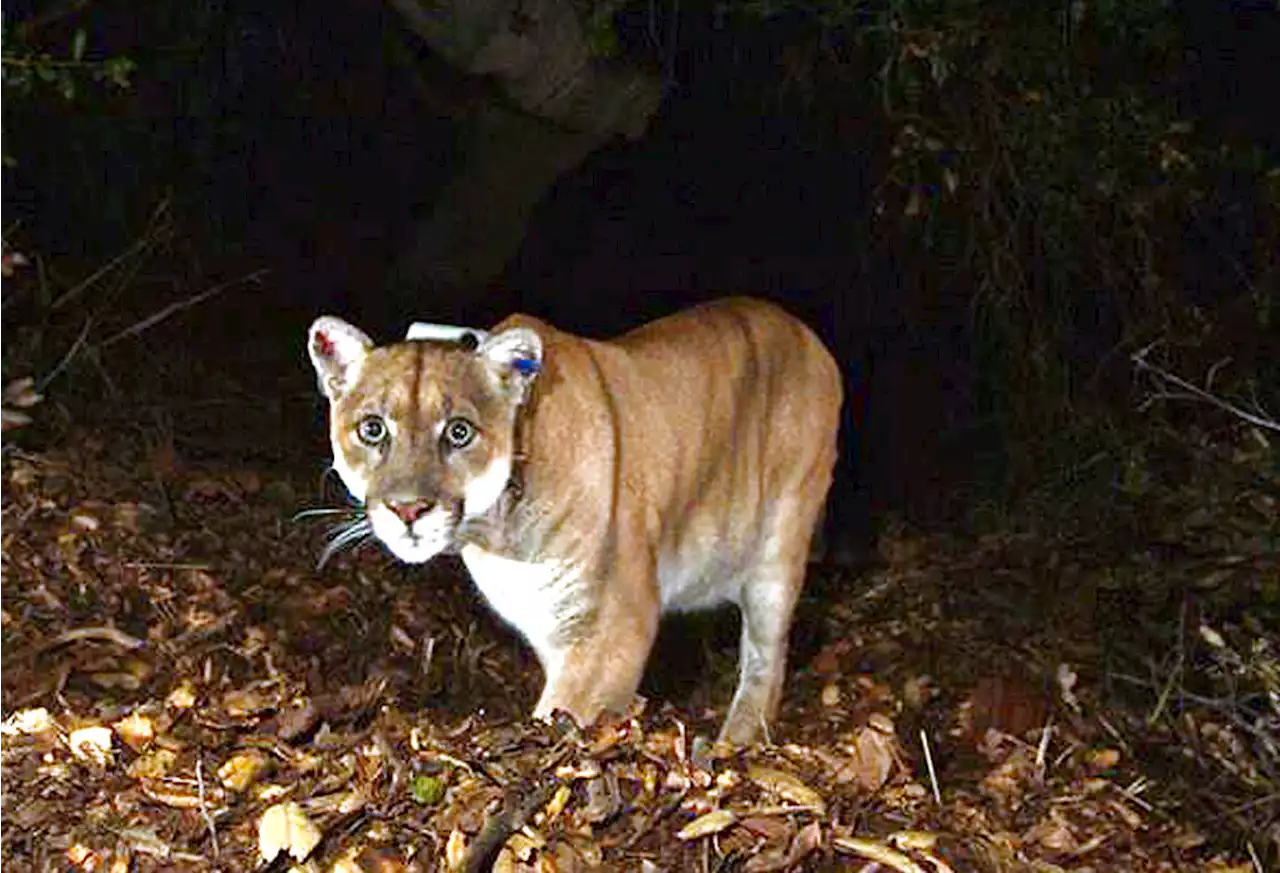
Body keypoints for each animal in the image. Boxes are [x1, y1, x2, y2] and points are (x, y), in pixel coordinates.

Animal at [308, 296, 844, 742]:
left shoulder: (615, 624)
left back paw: (736, 740)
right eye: (372, 429)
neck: (497, 535)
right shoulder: (552, 627)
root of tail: (806, 332)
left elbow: (562, 712)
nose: (408, 509)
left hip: (779, 547)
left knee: (766, 660)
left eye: (459, 432)